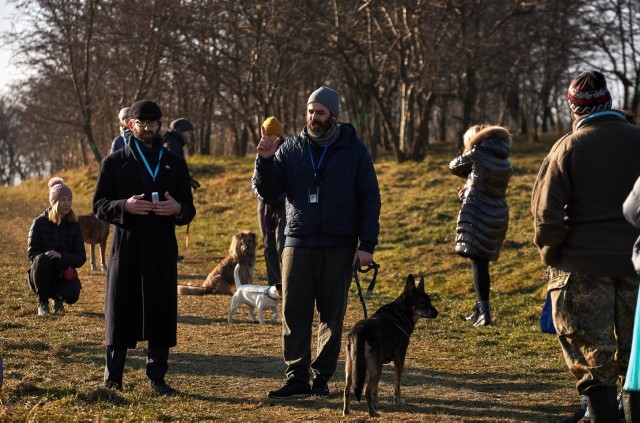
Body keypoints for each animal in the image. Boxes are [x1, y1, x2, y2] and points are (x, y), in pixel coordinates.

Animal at [342, 274, 438, 418]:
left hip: (351, 368)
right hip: (376, 369)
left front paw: (376, 403)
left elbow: (376, 390)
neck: (401, 312)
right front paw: (398, 401)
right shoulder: (399, 358)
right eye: (421, 302)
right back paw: (373, 413)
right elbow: (397, 384)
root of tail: (359, 331)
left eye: (430, 301)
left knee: (347, 389)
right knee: (366, 391)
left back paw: (347, 412)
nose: (437, 313)